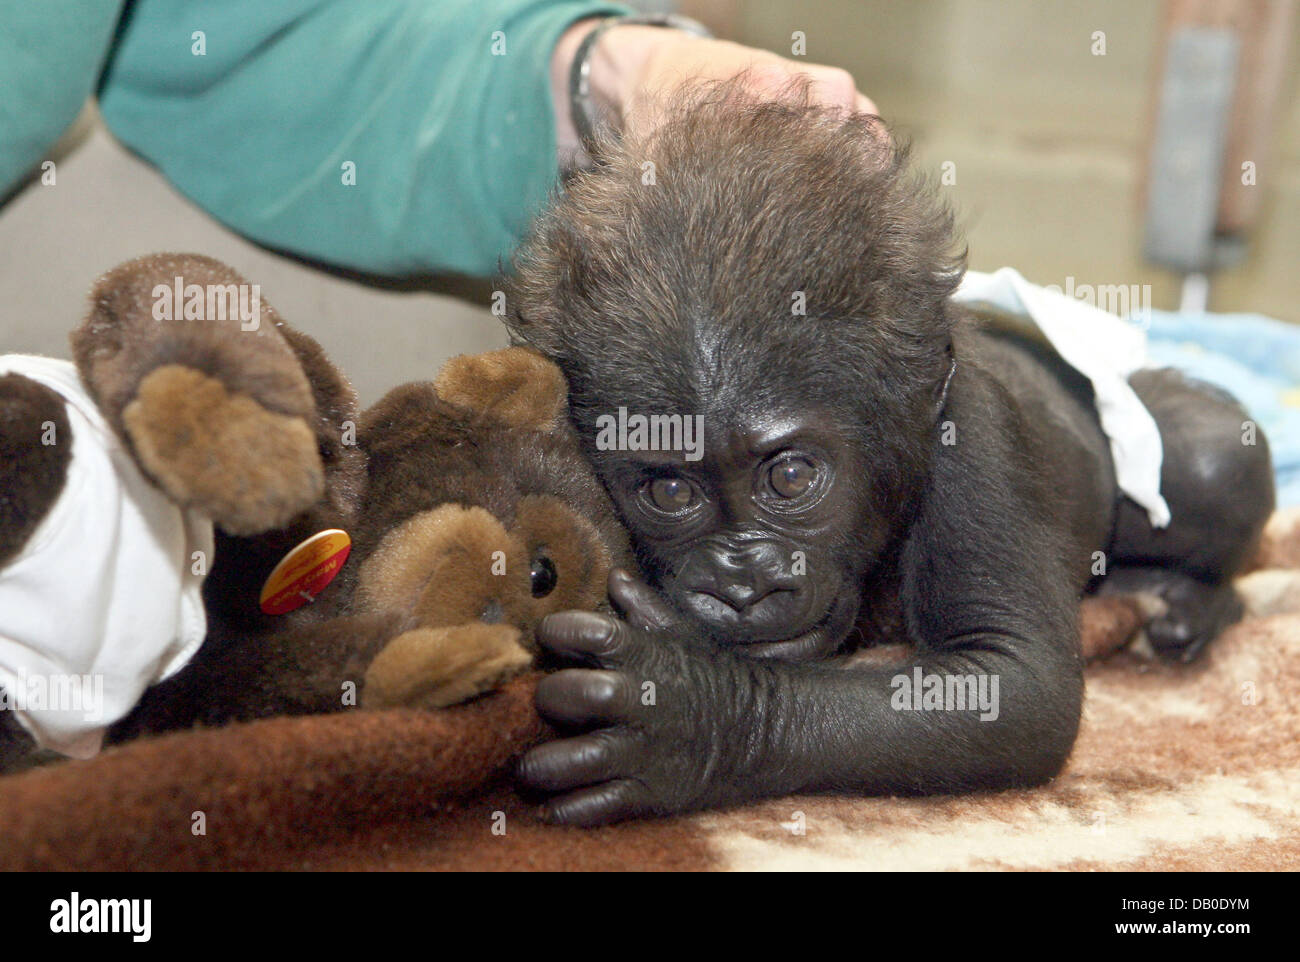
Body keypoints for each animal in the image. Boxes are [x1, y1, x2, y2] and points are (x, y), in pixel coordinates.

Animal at [501, 84, 1274, 826]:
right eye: (669, 492)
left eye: (790, 477)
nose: (744, 587)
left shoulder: (975, 437)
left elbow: (1016, 684)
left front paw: (694, 717)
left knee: (1213, 461)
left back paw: (1197, 602)